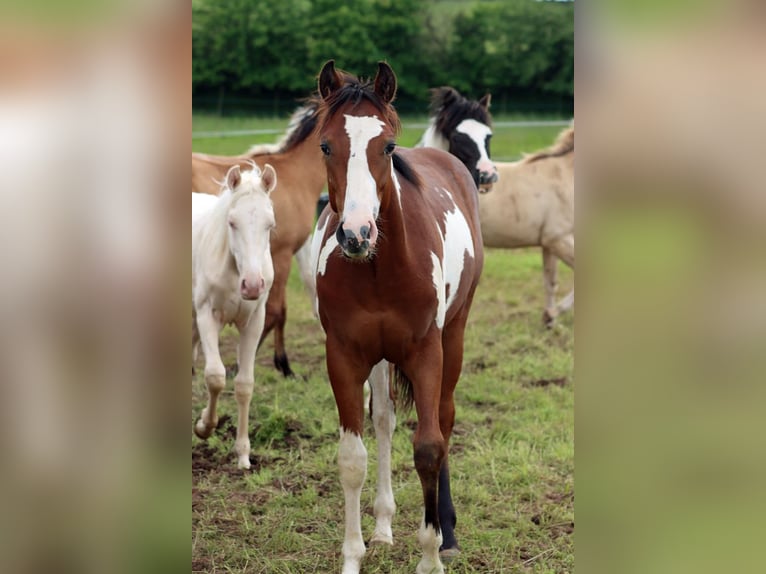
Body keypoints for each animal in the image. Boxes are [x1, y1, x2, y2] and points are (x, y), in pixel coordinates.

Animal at [194, 164, 278, 470]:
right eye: (232, 223)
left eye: (270, 225)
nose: (252, 286)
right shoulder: (206, 315)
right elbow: (216, 377)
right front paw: (204, 426)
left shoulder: (254, 322)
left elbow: (244, 385)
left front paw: (242, 454)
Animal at [310, 60, 480, 572]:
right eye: (325, 145)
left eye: (386, 146)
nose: (356, 234)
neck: (379, 269)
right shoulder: (344, 357)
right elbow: (353, 456)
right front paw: (352, 555)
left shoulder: (426, 352)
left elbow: (428, 446)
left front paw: (431, 555)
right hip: (381, 358)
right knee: (383, 420)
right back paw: (383, 526)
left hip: (454, 337)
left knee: (443, 419)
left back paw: (447, 533)